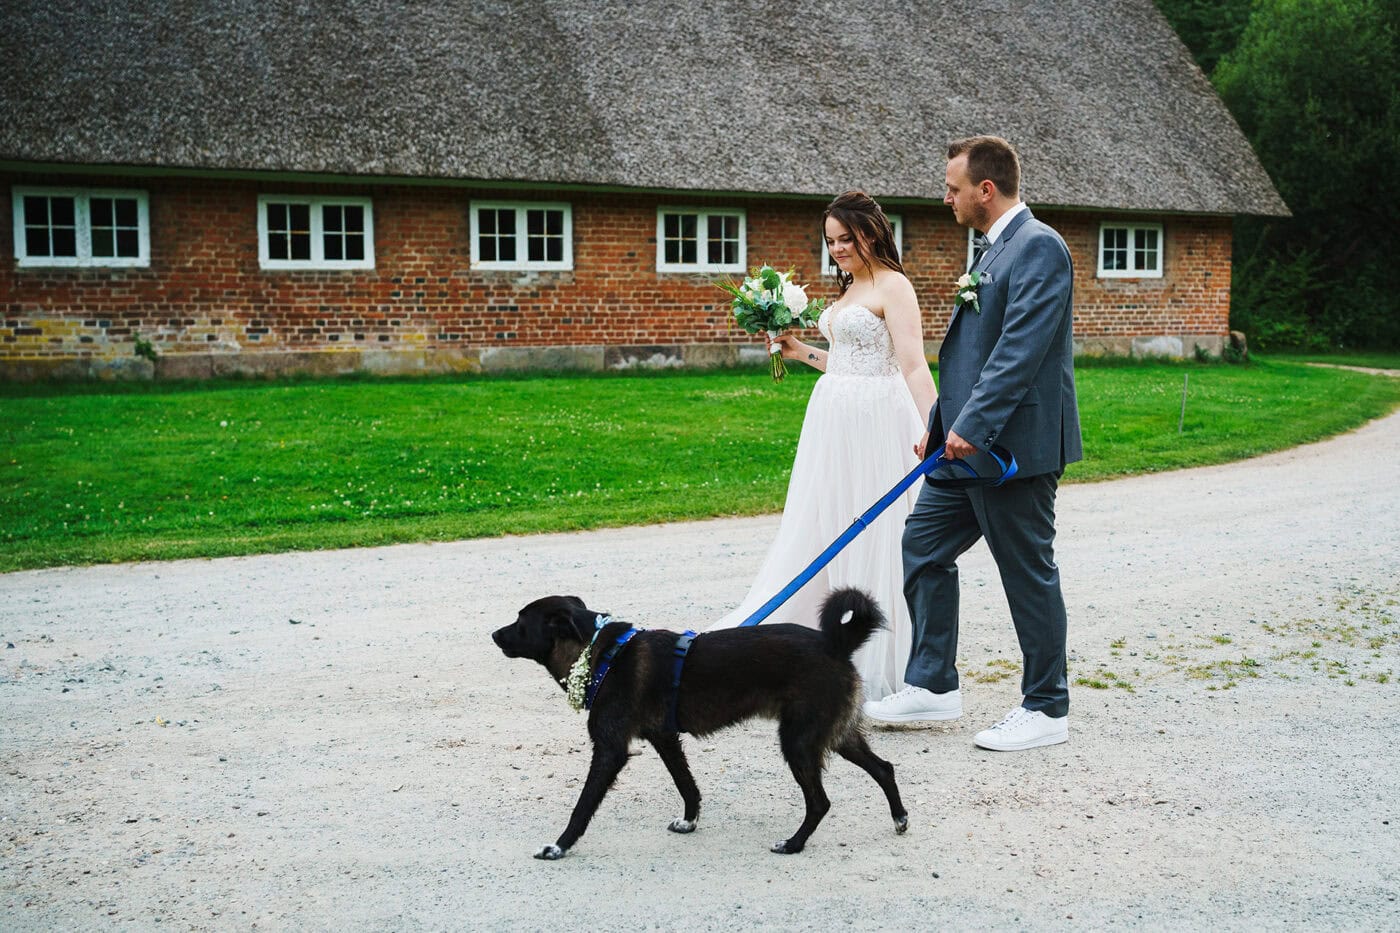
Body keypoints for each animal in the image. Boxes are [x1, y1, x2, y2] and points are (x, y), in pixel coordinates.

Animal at [492, 588, 907, 857]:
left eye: (520, 621)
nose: (494, 633)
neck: (601, 653)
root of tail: (836, 645)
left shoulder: (610, 750)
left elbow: (582, 806)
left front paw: (559, 846)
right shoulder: (664, 738)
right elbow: (686, 785)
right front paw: (689, 822)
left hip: (799, 741)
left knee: (820, 802)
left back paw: (793, 844)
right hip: (833, 733)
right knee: (884, 768)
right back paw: (900, 818)